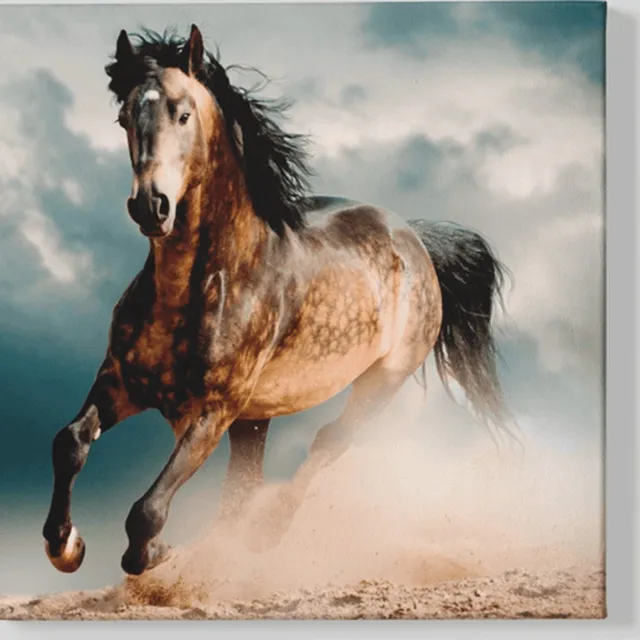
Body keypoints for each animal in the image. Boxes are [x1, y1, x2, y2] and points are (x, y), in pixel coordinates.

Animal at [42, 25, 512, 577]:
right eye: (123, 118)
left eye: (183, 114)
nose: (150, 206)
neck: (197, 286)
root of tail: (414, 238)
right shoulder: (120, 382)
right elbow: (70, 442)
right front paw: (65, 545)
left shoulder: (213, 410)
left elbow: (147, 510)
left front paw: (155, 553)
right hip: (256, 417)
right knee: (243, 486)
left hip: (380, 381)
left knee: (328, 441)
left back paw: (266, 531)